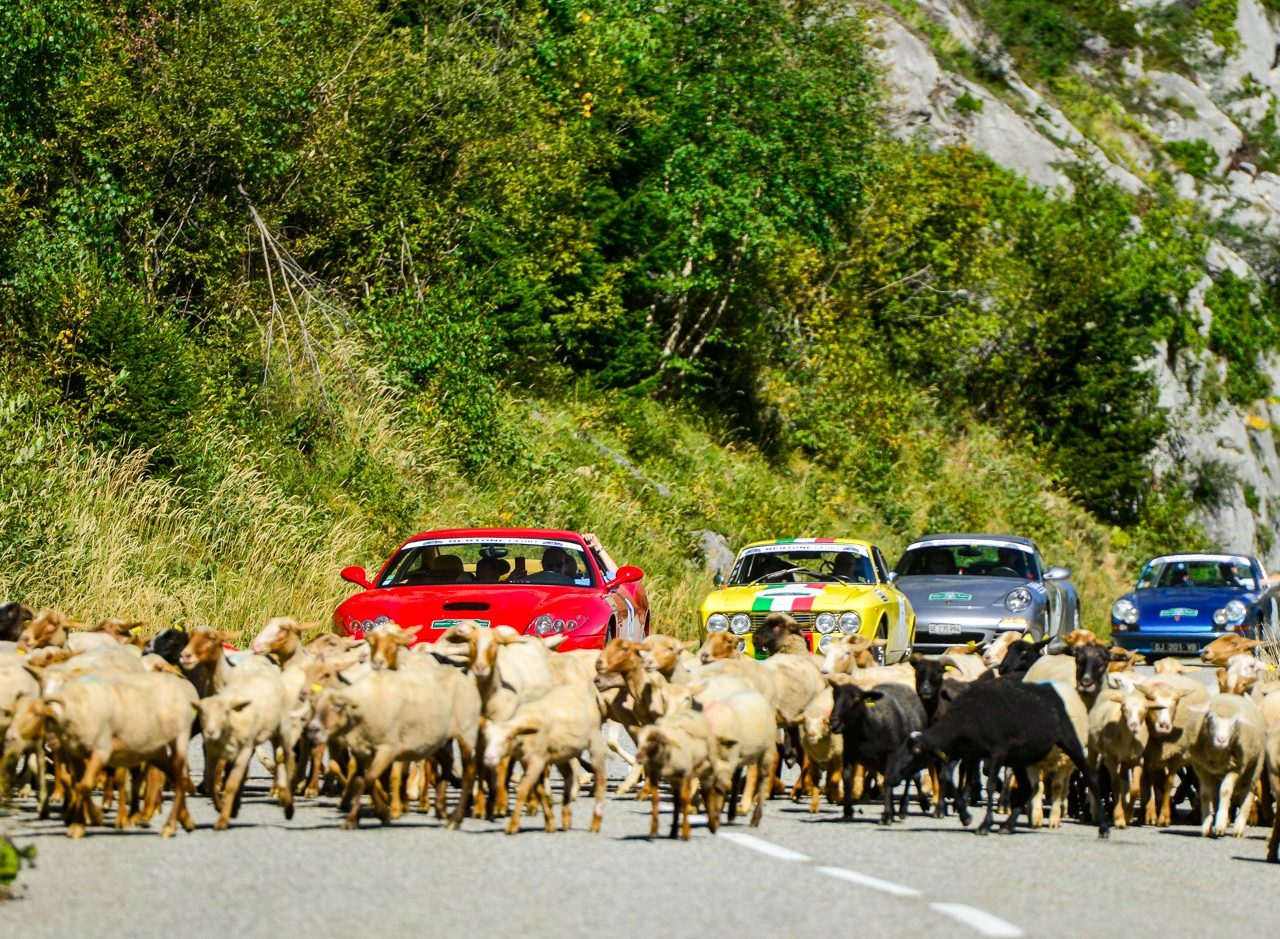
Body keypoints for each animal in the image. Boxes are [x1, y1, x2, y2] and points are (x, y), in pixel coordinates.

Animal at [1182, 690, 1264, 839]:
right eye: (1210, 718)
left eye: (1235, 722)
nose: (1221, 740)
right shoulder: (1202, 768)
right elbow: (1205, 794)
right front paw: (1206, 826)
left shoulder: (1237, 768)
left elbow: (1225, 791)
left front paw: (1220, 825)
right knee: (1215, 794)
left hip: (1254, 768)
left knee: (1247, 792)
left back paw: (1238, 828)